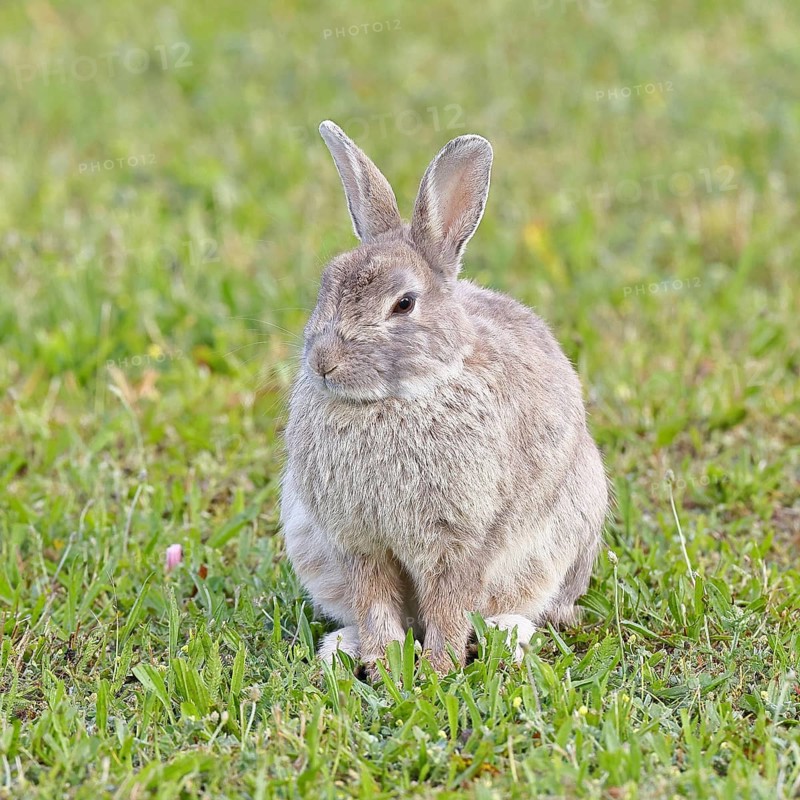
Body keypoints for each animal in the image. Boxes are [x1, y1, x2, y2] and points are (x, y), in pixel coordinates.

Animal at [280, 120, 608, 677]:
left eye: (404, 303)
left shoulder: (459, 537)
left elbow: (449, 601)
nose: (324, 363)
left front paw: (437, 668)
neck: (392, 399)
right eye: (328, 283)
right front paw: (385, 663)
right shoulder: (358, 542)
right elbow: (375, 601)